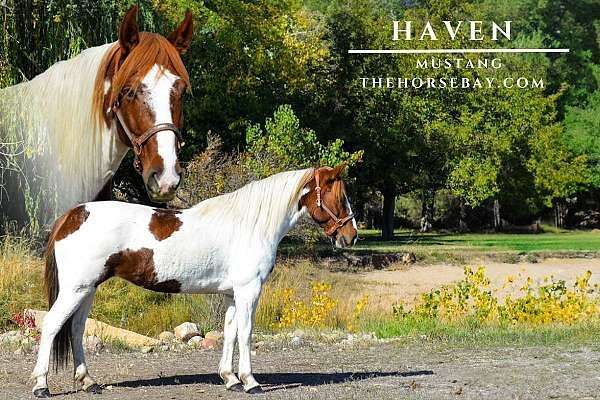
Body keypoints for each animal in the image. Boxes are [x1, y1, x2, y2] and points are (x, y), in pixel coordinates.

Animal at [31, 165, 356, 396]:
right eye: (340, 197)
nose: (351, 236)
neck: (250, 225)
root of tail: (72, 215)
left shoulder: (231, 294)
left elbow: (230, 332)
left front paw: (230, 379)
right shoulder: (249, 291)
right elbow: (246, 333)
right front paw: (250, 382)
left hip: (87, 289)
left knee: (76, 330)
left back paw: (89, 382)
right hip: (75, 289)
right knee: (52, 325)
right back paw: (41, 386)